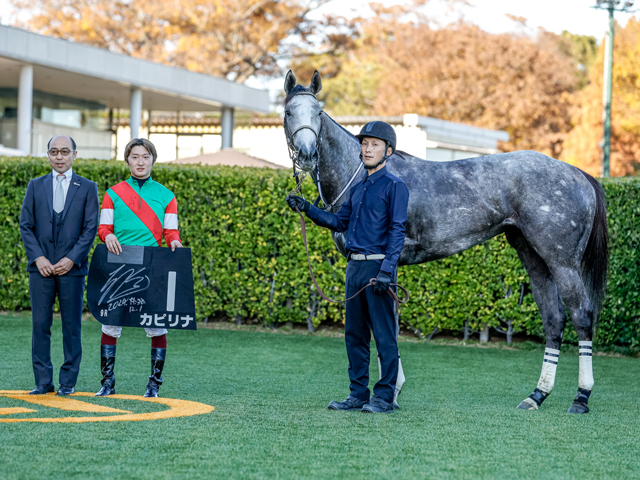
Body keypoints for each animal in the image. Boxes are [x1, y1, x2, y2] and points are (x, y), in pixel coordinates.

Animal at [282, 70, 608, 412]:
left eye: (318, 113)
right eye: (289, 112)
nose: (307, 154)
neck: (365, 177)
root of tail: (577, 174)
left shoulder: (385, 269)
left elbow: (388, 327)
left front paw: (389, 393)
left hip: (563, 262)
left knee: (582, 315)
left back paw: (581, 397)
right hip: (535, 259)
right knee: (554, 320)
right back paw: (536, 395)